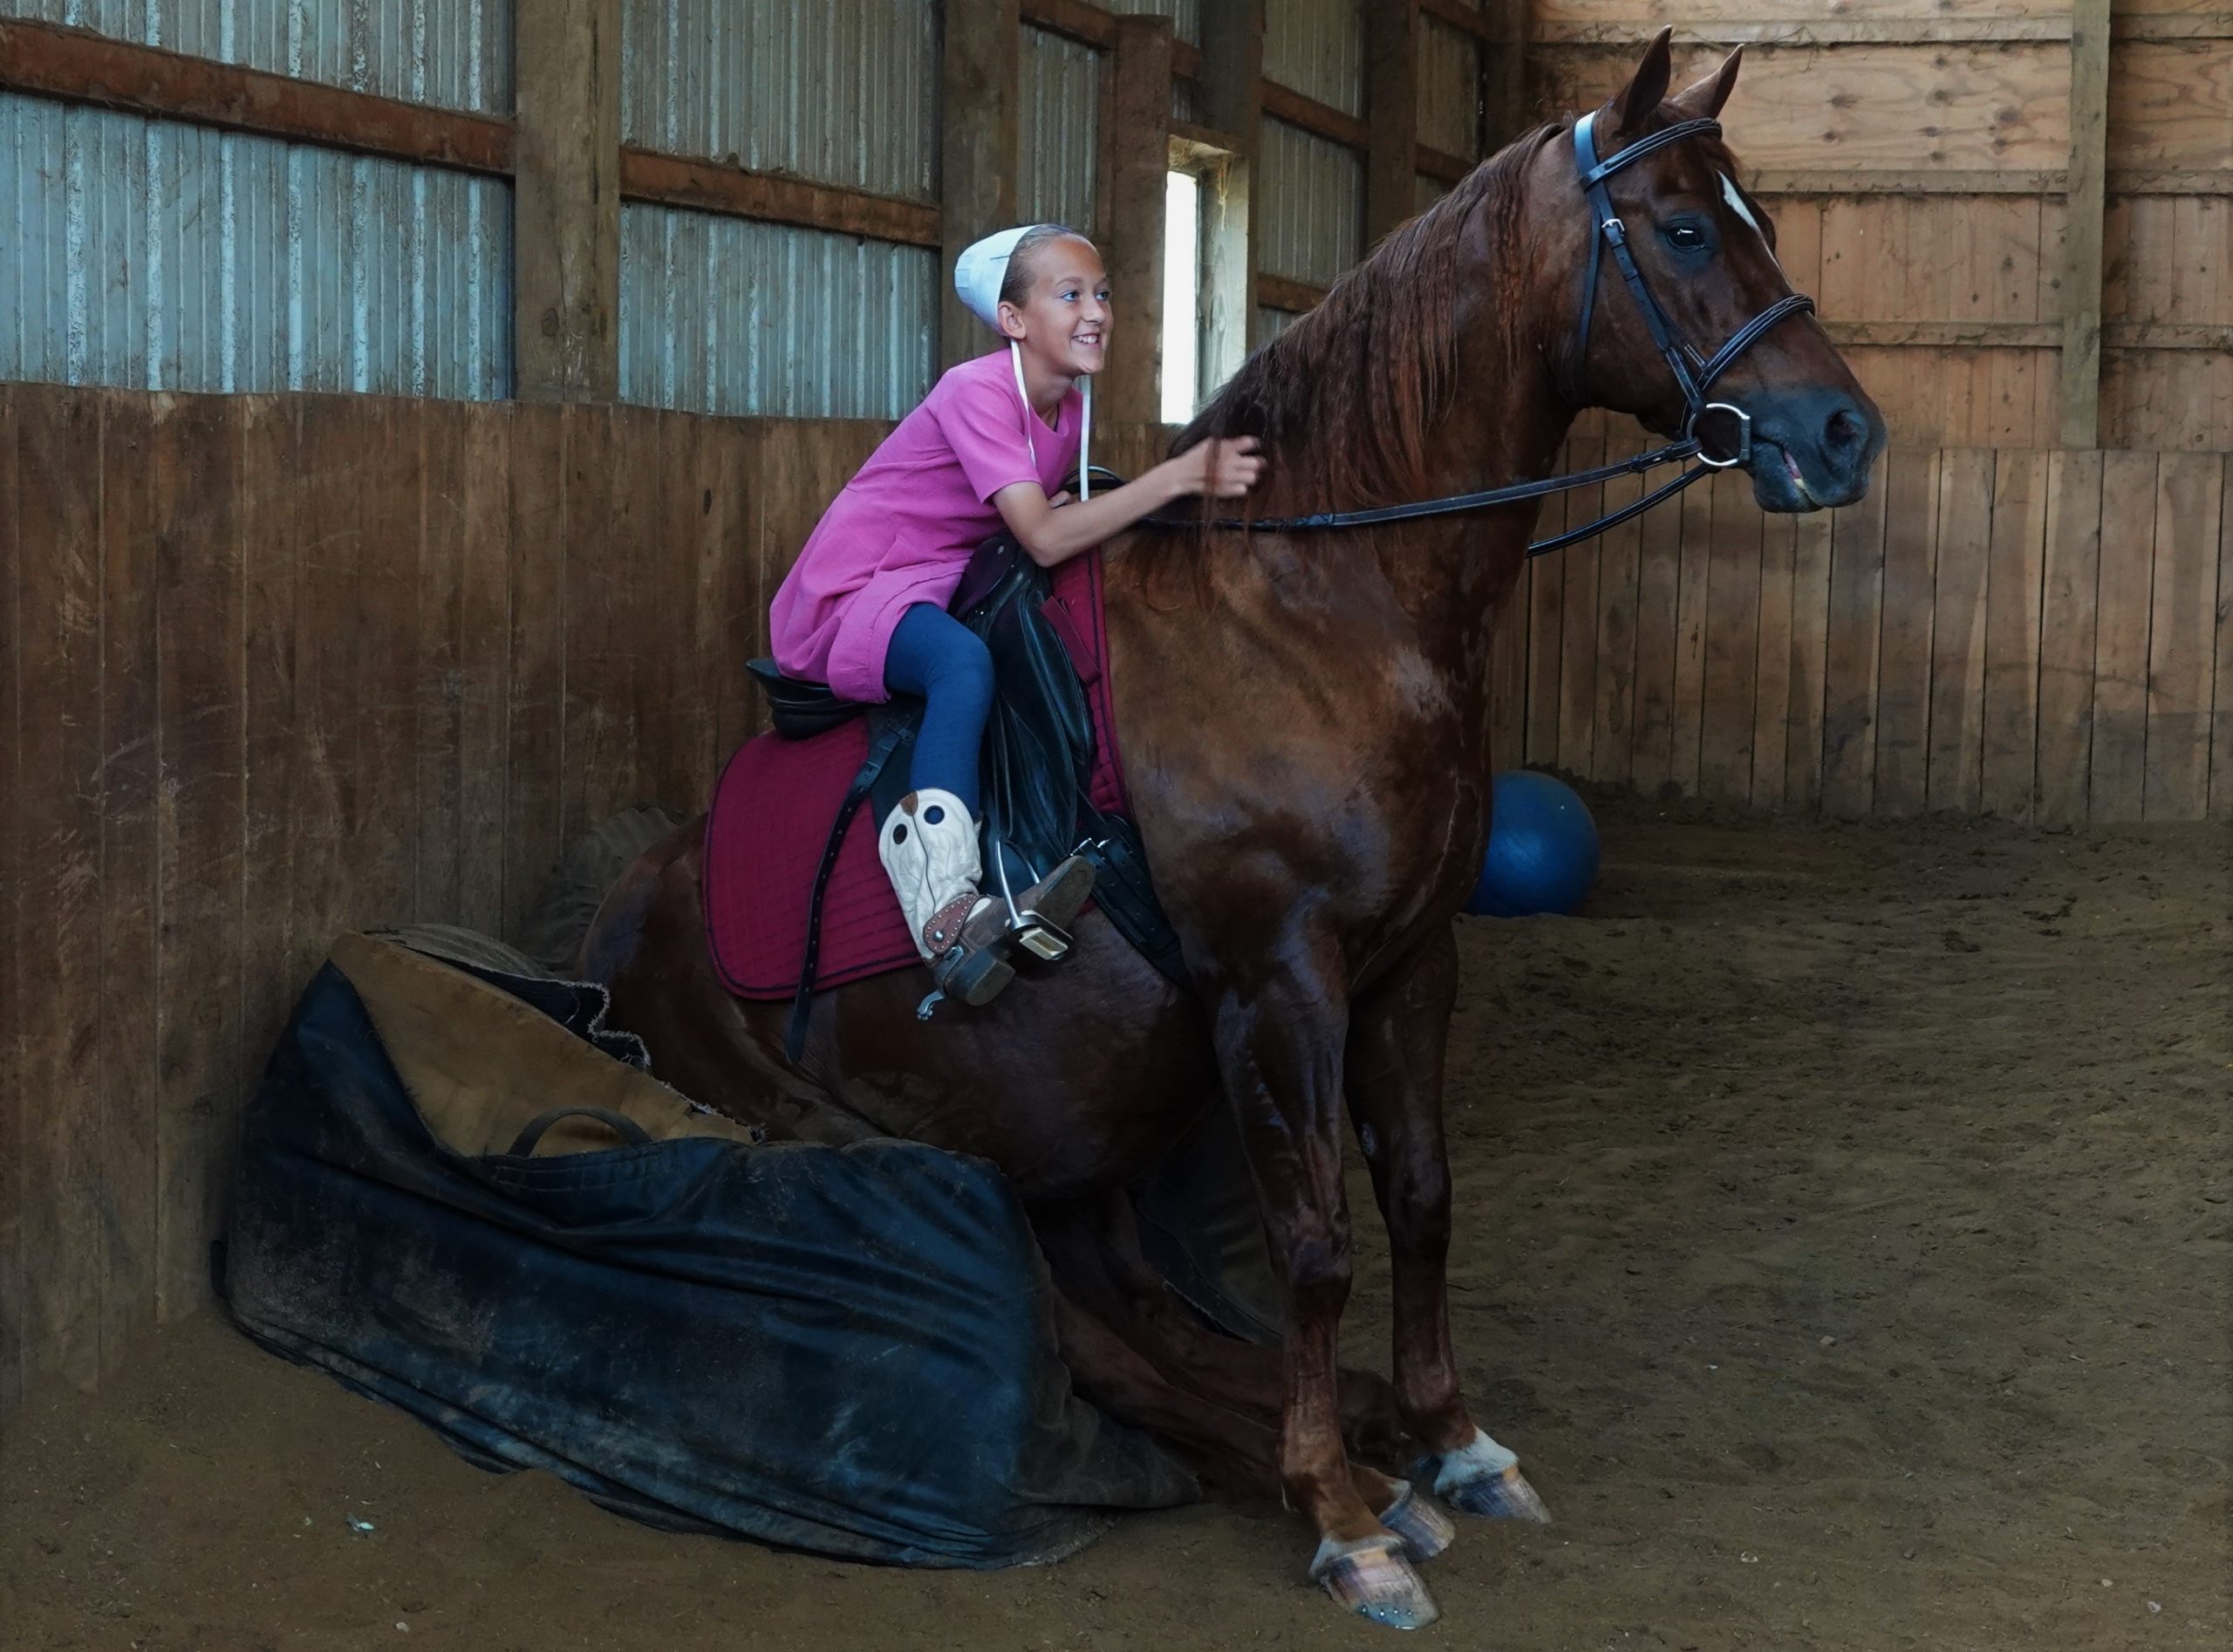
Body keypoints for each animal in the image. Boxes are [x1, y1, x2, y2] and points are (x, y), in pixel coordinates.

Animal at [580, 29, 1885, 1629]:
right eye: (1688, 229)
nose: (1844, 431)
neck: (1324, 613)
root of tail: (626, 906)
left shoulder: (1412, 964)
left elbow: (1423, 1199)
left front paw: (1451, 1435)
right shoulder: (1278, 981)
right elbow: (1317, 1242)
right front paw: (1339, 1508)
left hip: (1077, 1138)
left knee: (1139, 1307)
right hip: (877, 1143)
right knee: (1093, 1342)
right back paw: (1314, 1455)